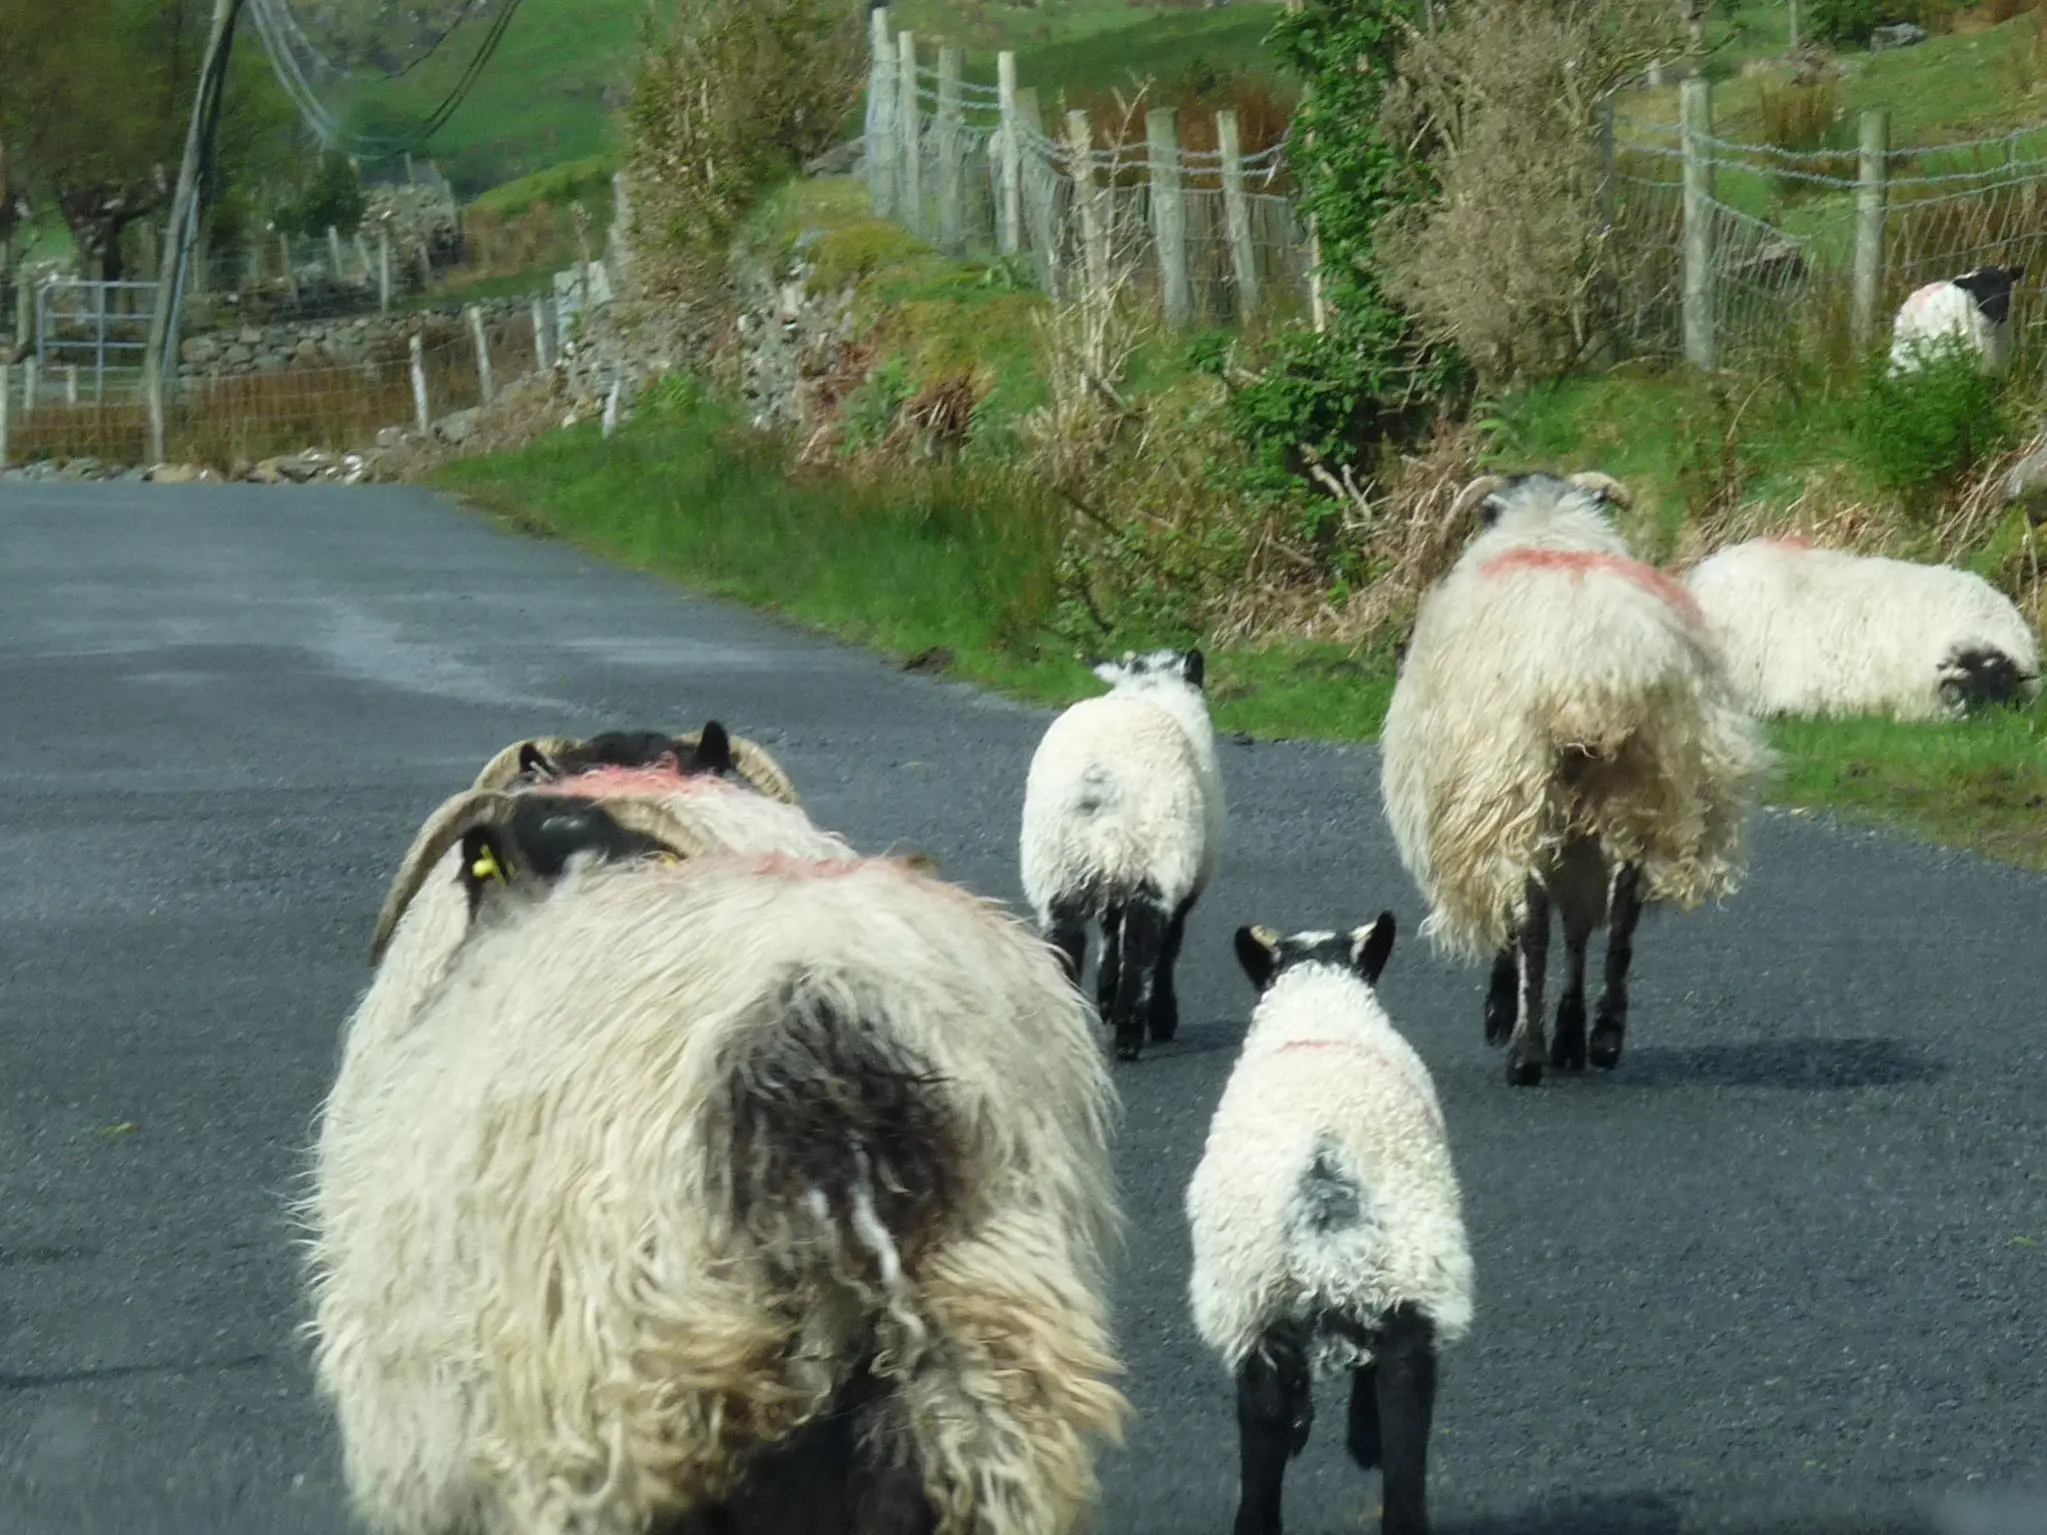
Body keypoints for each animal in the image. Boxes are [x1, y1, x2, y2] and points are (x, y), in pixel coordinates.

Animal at [1019, 648, 1225, 1062]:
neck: (1153, 690)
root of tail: (1099, 779)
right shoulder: (1183, 880)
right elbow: (1167, 946)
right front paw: (1159, 1019)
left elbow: (1110, 932)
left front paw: (1105, 996)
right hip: (1156, 858)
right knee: (1144, 946)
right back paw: (1131, 1033)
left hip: (1058, 867)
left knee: (1065, 943)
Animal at [1186, 915, 1469, 1535]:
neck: (1319, 1002)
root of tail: (1325, 1168)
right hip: (1403, 1271)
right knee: (1401, 1391)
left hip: (1257, 1293)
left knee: (1264, 1407)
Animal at [1379, 471, 1770, 1087]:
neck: (1546, 521)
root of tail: (1591, 677)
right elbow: (1583, 929)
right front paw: (1568, 1028)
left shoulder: (1485, 804)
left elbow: (1522, 923)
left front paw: (1506, 1012)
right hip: (1646, 783)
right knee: (1621, 916)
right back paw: (1600, 1034)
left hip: (1517, 785)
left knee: (1532, 918)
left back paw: (1526, 1049)